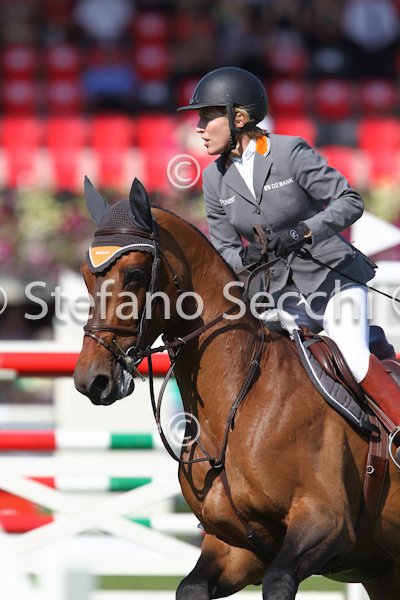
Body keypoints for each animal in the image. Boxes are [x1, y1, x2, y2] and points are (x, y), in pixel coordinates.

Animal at [73, 177, 400, 600]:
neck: (237, 405)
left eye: (134, 274)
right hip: (383, 573)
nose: (91, 380)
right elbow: (191, 587)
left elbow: (279, 581)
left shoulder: (326, 522)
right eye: (86, 274)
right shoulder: (237, 548)